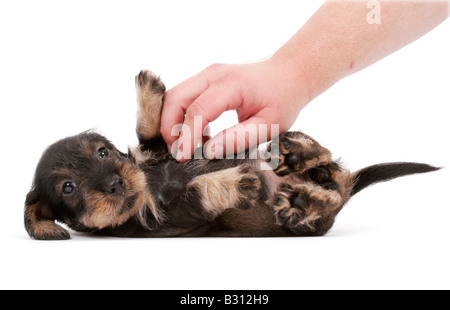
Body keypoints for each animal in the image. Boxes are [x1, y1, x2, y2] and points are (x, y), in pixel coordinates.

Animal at [24, 70, 440, 240]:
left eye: (102, 151)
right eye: (67, 187)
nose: (114, 182)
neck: (147, 182)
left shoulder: (162, 151)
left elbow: (152, 134)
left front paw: (149, 93)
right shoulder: (165, 216)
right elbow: (198, 191)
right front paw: (239, 182)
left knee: (326, 164)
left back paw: (298, 154)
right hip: (307, 222)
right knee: (327, 195)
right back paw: (302, 201)